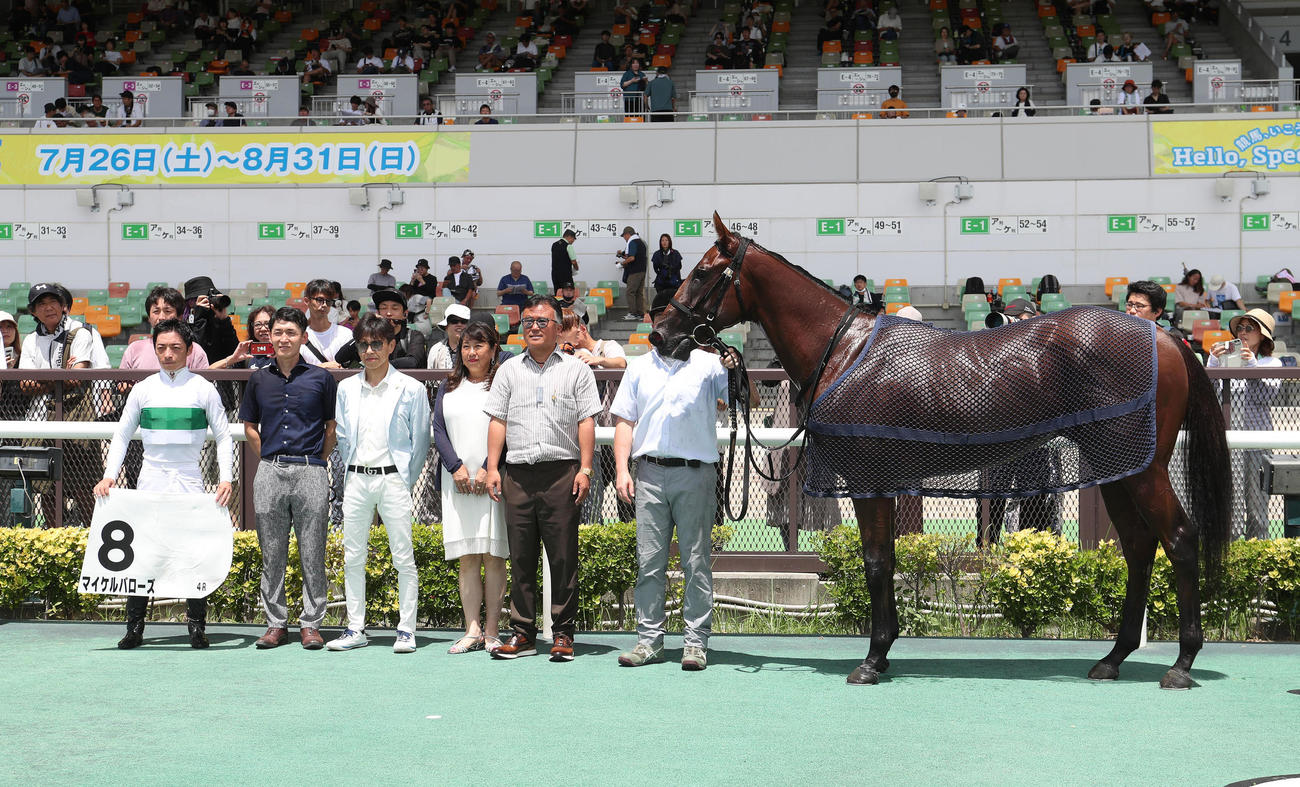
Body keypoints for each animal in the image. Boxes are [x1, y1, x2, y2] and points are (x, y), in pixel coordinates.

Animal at [651, 213, 1232, 689]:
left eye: (702, 272)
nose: (659, 333)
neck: (845, 350)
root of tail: (1164, 338)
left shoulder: (869, 478)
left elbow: (876, 560)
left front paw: (871, 659)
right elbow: (884, 558)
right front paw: (884, 652)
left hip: (1144, 470)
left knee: (1179, 538)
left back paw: (1181, 664)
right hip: (1119, 469)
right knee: (1139, 547)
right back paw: (1113, 658)